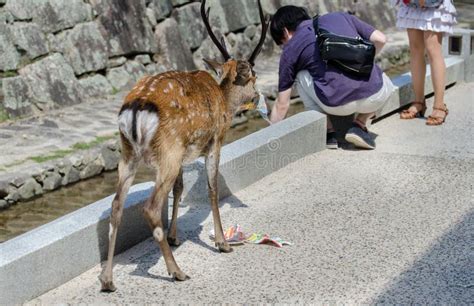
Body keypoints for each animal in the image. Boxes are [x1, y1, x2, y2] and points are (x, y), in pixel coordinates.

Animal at [99, 0, 270, 290]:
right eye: (254, 76)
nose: (258, 96)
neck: (224, 101)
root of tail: (136, 108)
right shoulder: (215, 142)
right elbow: (212, 189)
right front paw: (222, 243)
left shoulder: (183, 154)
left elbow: (179, 189)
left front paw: (175, 237)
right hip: (167, 150)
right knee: (151, 207)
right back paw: (177, 271)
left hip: (131, 154)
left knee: (116, 206)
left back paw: (108, 280)